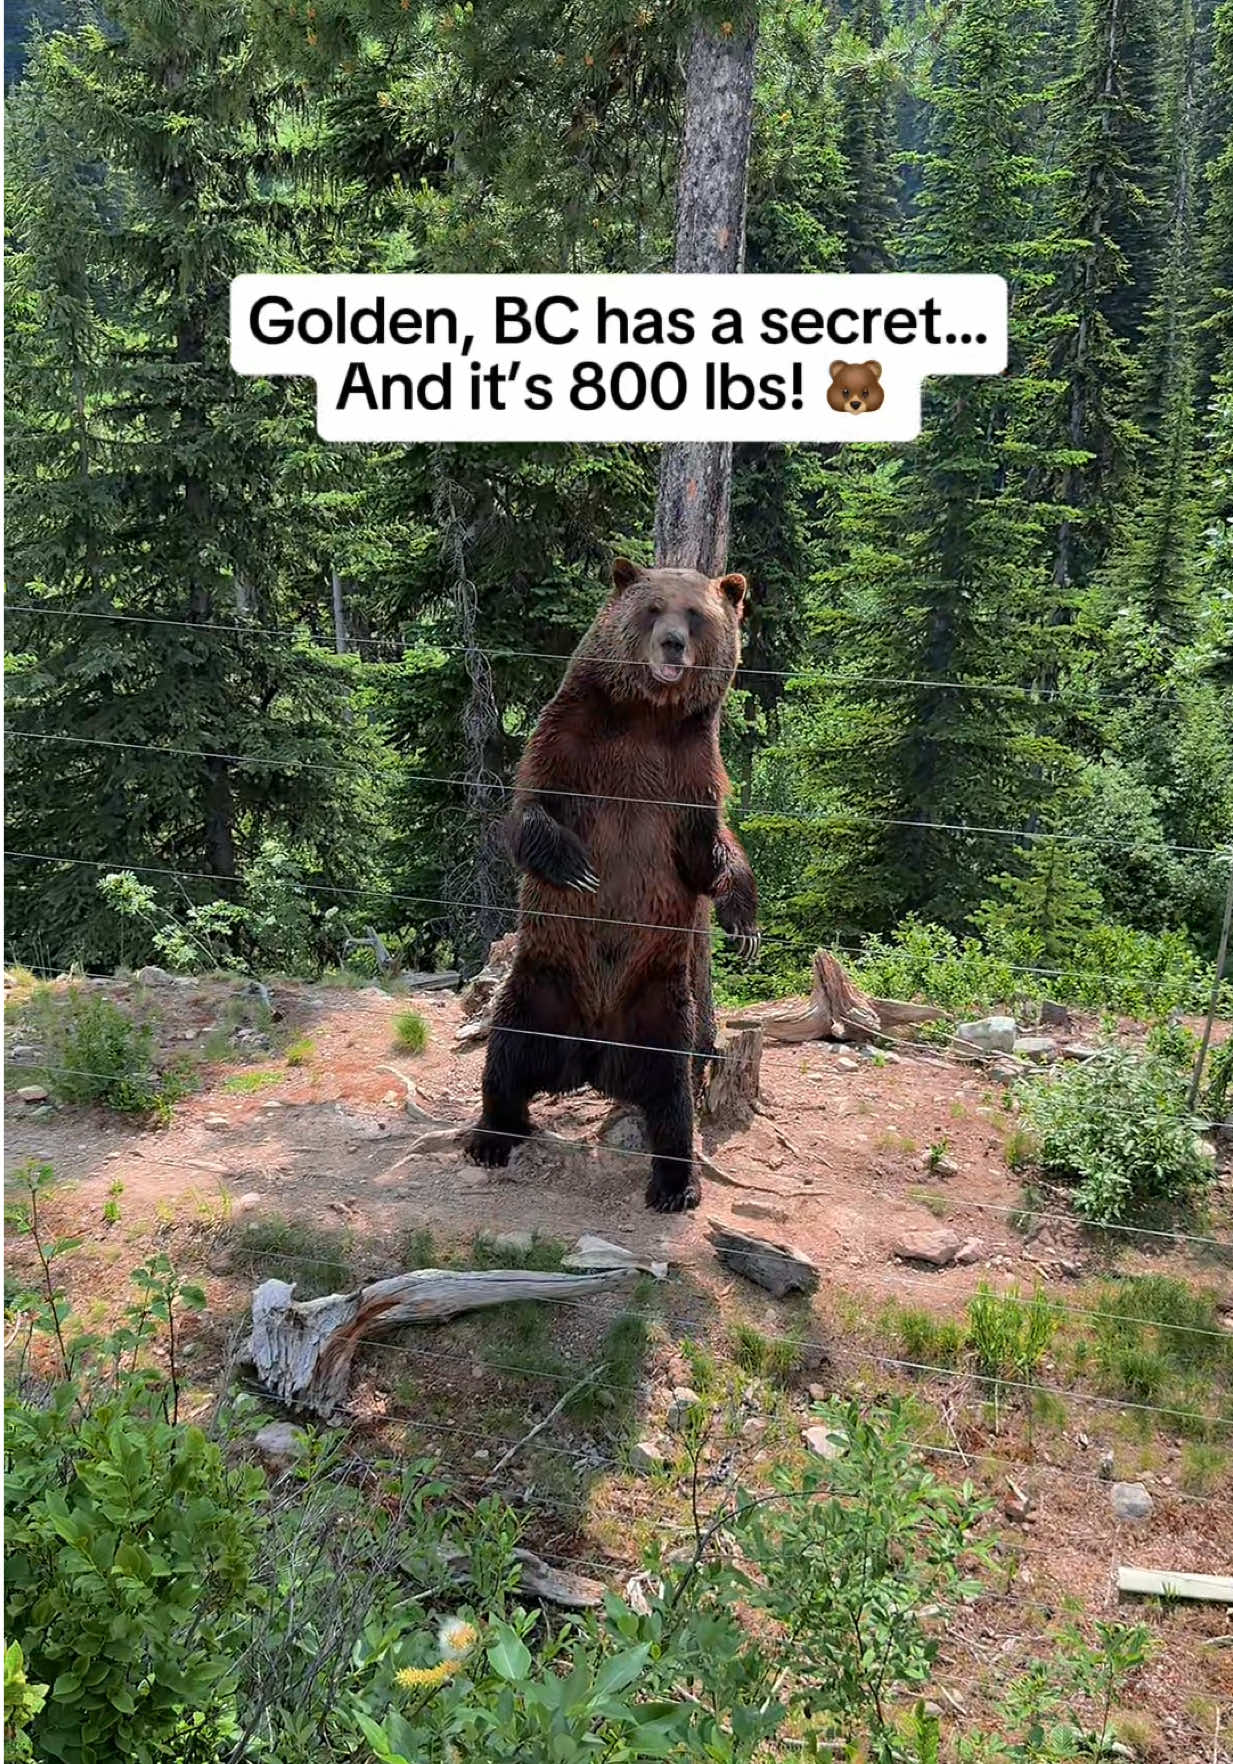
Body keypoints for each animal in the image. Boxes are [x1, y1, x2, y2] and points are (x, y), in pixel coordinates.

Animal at [462, 557, 760, 1213]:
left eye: (695, 614)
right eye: (652, 610)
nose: (672, 642)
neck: (647, 716)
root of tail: (595, 1055)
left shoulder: (690, 770)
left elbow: (711, 850)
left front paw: (744, 924)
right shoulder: (571, 738)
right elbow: (527, 811)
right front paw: (573, 864)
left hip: (658, 1004)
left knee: (673, 1098)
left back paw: (675, 1183)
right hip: (543, 980)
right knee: (506, 1055)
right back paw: (492, 1136)